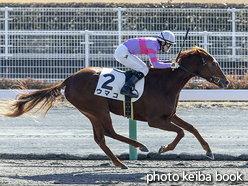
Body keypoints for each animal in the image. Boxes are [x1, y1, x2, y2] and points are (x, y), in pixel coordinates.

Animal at [1, 46, 230, 169]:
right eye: (213, 63)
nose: (226, 82)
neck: (166, 82)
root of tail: (69, 78)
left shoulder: (169, 115)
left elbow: (191, 128)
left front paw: (209, 151)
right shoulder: (155, 120)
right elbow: (181, 132)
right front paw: (163, 148)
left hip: (90, 112)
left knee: (100, 138)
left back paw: (120, 162)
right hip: (98, 108)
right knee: (109, 132)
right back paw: (139, 146)